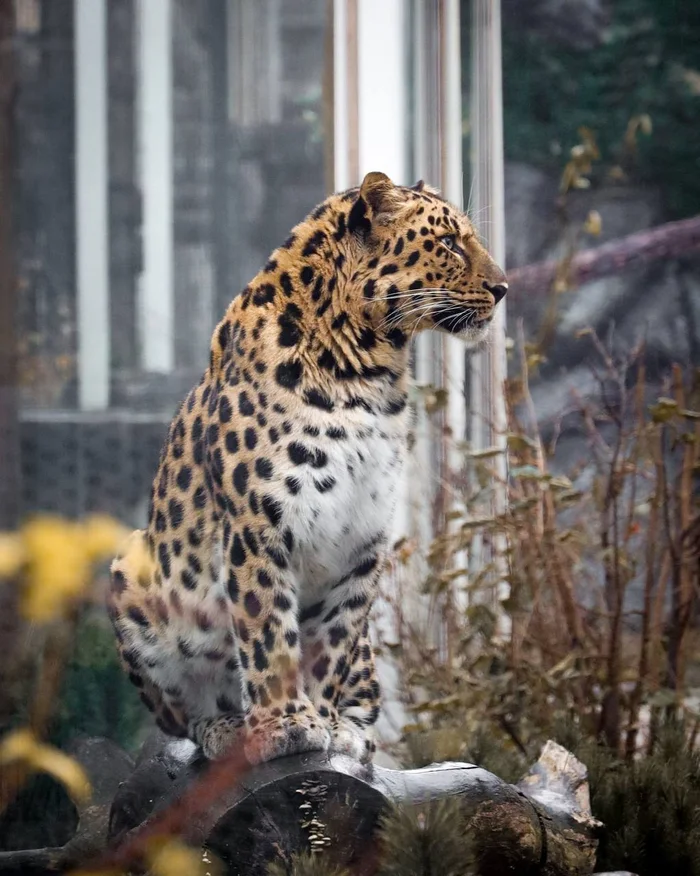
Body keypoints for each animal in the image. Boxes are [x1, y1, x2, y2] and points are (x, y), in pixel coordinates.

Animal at [108, 168, 504, 764]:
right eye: (451, 242)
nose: (504, 287)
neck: (365, 372)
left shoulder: (363, 538)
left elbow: (333, 641)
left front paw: (325, 722)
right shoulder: (257, 526)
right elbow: (268, 629)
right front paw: (284, 724)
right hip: (131, 569)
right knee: (184, 713)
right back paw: (227, 728)